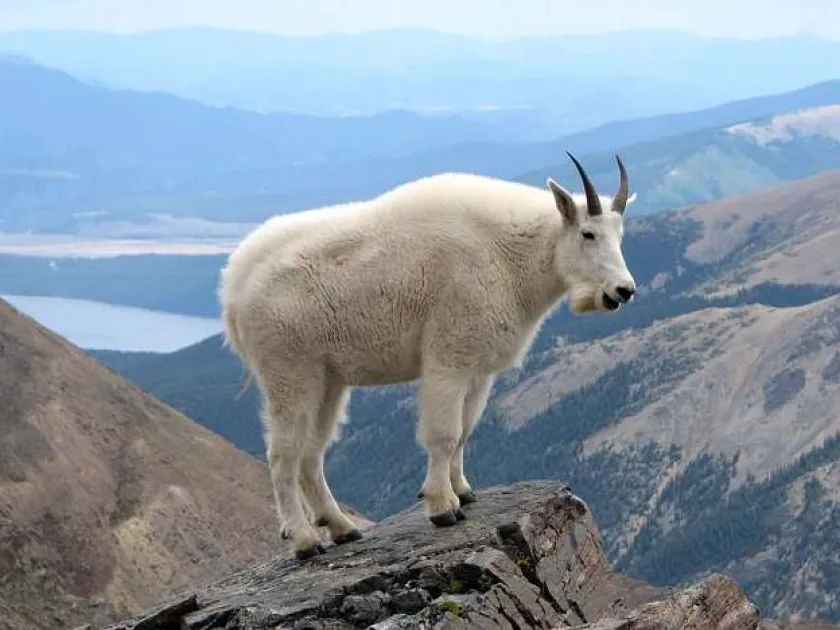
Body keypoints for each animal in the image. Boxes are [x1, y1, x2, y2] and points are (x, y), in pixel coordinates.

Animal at [218, 153, 638, 560]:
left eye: (620, 235)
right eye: (588, 233)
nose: (624, 291)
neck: (512, 253)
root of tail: (233, 289)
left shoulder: (478, 369)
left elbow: (465, 430)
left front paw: (464, 491)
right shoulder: (448, 357)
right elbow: (444, 433)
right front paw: (442, 506)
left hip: (328, 379)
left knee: (311, 454)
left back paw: (342, 528)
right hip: (288, 370)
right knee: (283, 455)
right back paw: (305, 541)